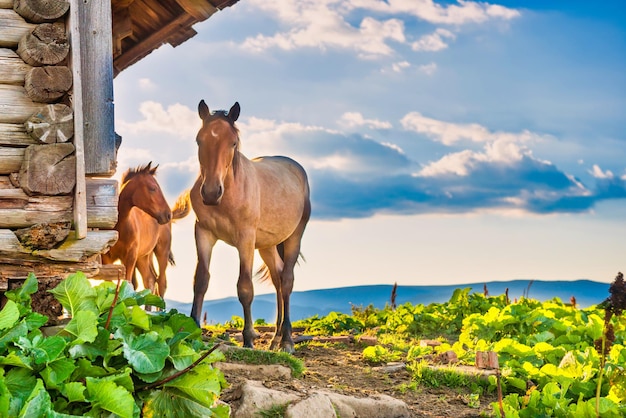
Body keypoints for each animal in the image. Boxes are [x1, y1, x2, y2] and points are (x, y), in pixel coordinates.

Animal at [102, 162, 183, 298]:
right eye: (152, 188)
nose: (168, 215)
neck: (121, 226)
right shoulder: (107, 258)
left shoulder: (130, 257)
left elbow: (128, 284)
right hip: (143, 257)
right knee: (150, 280)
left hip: (161, 252)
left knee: (161, 282)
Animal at [173, 101, 310, 352]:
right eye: (199, 140)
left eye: (233, 142)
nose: (210, 192)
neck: (228, 192)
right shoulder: (203, 233)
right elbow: (201, 280)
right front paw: (193, 330)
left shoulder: (245, 239)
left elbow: (245, 287)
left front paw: (248, 339)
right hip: (267, 245)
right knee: (277, 279)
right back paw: (275, 338)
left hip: (294, 236)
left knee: (286, 281)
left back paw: (286, 340)